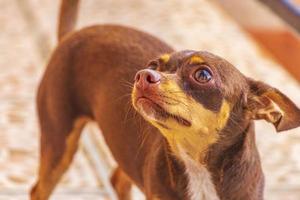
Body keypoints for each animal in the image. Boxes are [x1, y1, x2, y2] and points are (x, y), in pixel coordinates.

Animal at [30, 0, 300, 200]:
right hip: (58, 143)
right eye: (153, 65)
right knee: (39, 189)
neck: (197, 166)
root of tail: (71, 35)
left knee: (119, 181)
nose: (143, 75)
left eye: (203, 75)